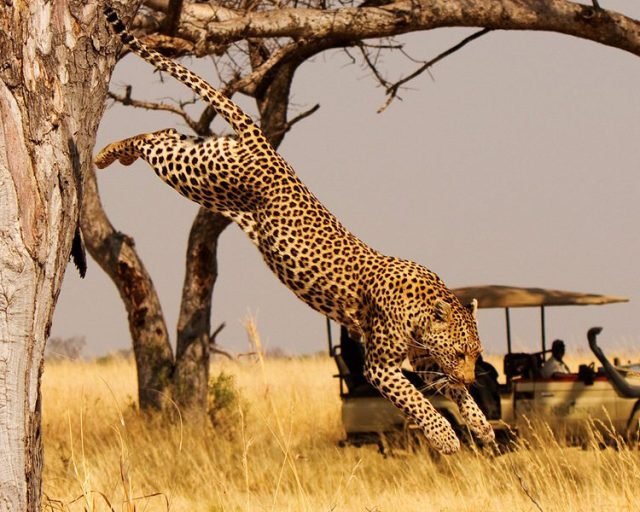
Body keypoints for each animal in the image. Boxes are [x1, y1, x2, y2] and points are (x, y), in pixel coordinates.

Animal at [96, 5, 494, 454]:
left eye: (476, 354)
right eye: (461, 352)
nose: (471, 374)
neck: (423, 310)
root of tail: (263, 143)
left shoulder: (423, 358)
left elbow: (451, 393)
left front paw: (480, 424)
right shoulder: (380, 366)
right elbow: (417, 401)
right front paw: (445, 437)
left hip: (204, 159)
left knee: (165, 133)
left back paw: (112, 153)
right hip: (201, 175)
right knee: (154, 141)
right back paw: (106, 154)